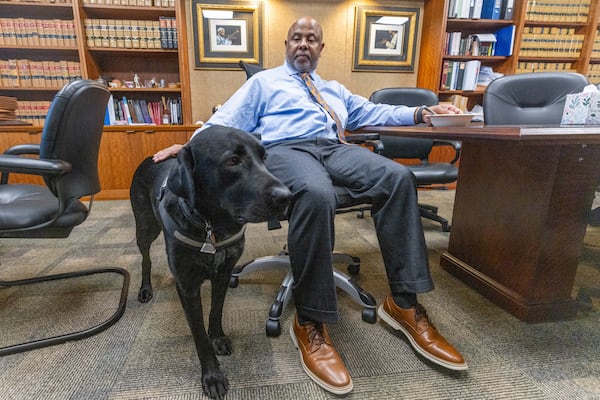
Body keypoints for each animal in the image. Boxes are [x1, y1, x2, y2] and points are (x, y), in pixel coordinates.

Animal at [130, 125, 291, 399]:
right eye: (232, 161)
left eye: (264, 157)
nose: (287, 197)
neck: (213, 228)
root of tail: (150, 157)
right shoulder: (187, 287)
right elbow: (198, 336)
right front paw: (212, 376)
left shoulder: (224, 273)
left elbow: (216, 311)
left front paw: (218, 338)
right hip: (145, 225)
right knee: (146, 258)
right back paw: (145, 288)